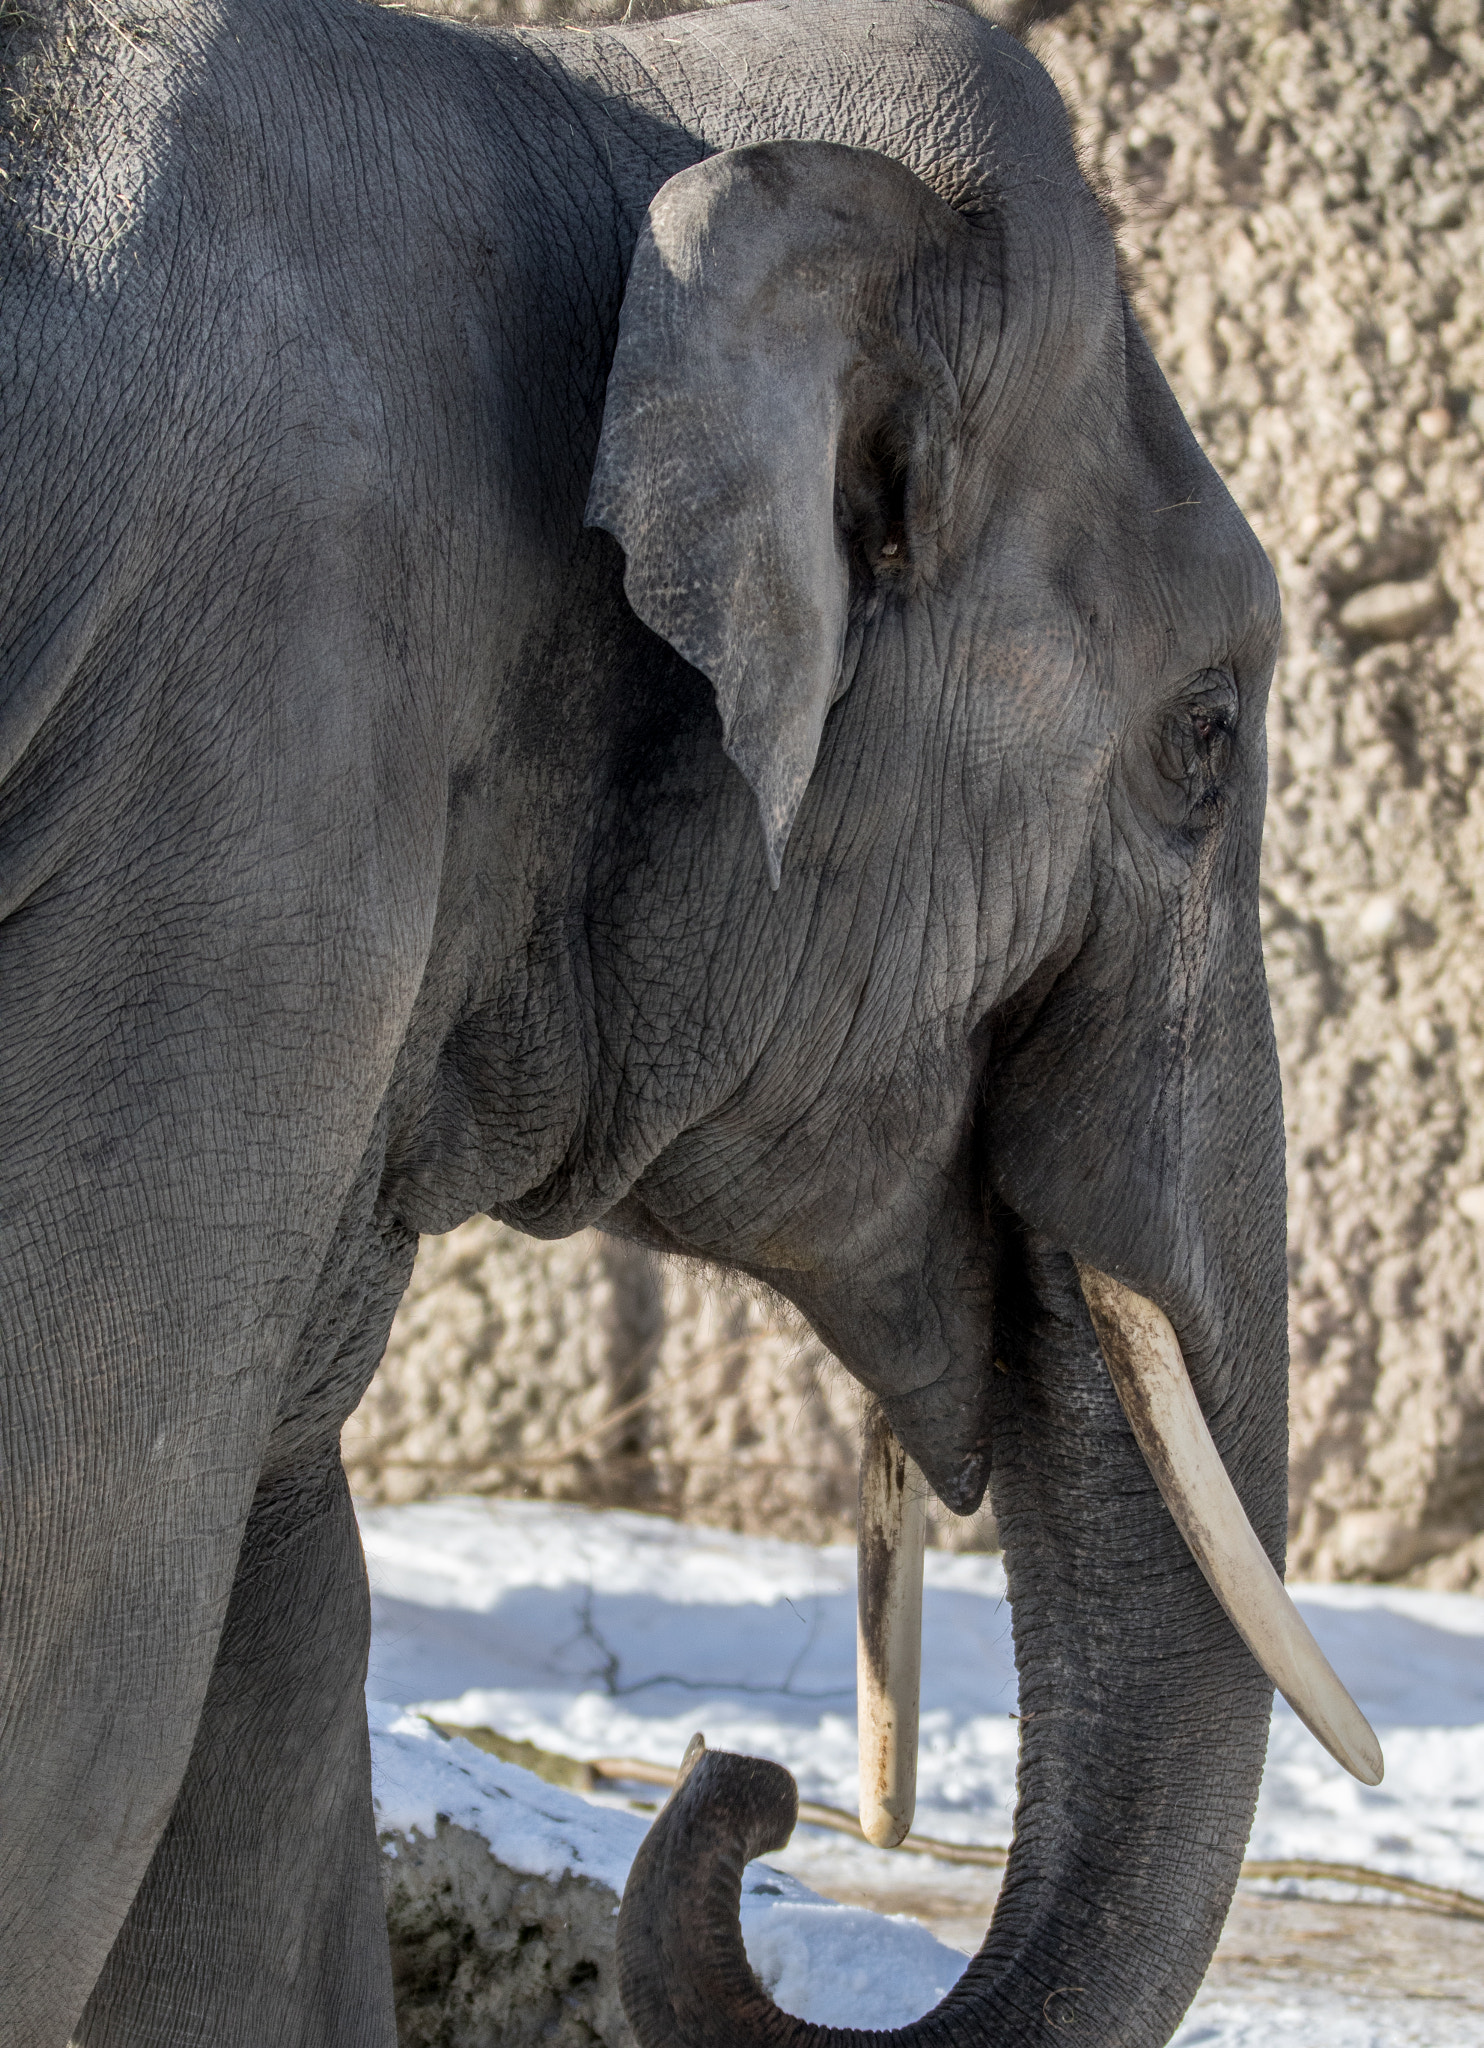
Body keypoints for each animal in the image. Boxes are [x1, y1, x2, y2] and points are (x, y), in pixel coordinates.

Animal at [2, 0, 1318, 2039]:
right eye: (1203, 739)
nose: (744, 1784)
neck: (619, 92)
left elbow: (264, 1629)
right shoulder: (233, 763)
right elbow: (83, 1620)